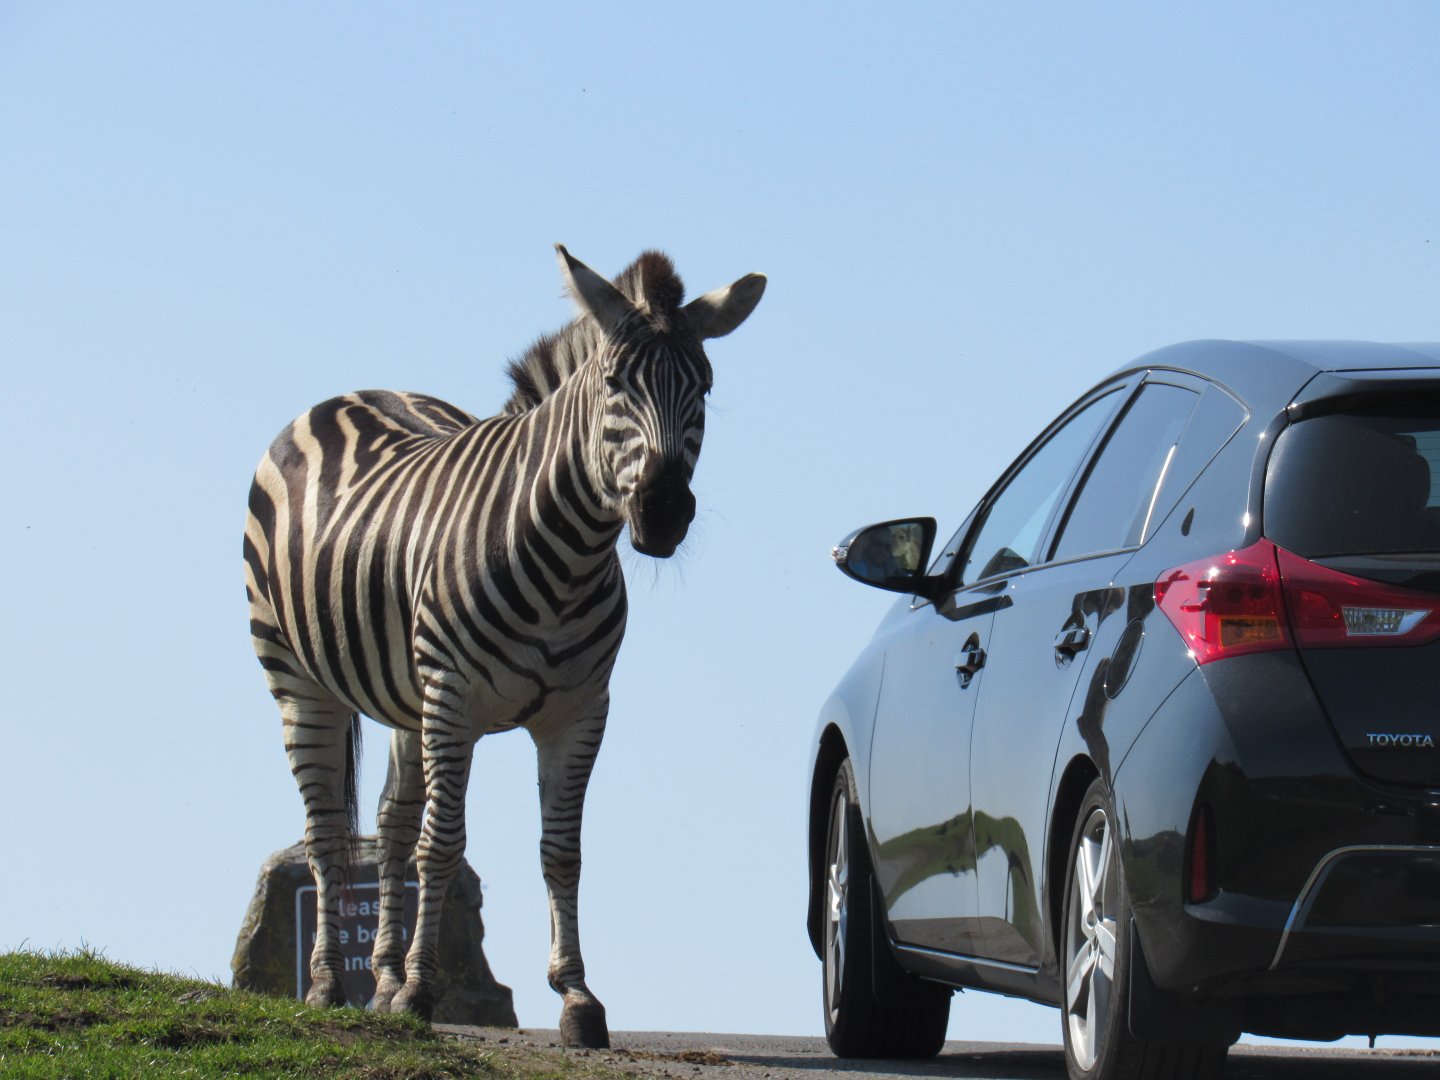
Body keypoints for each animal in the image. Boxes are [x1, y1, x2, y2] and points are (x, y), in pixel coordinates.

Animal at [243, 245, 765, 1048]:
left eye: (703, 387)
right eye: (614, 383)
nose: (664, 512)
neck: (568, 559)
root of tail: (350, 393)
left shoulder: (580, 711)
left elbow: (561, 850)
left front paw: (577, 996)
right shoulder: (454, 697)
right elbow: (442, 843)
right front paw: (423, 990)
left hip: (406, 697)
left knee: (388, 824)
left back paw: (381, 979)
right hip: (298, 677)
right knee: (328, 832)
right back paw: (331, 983)